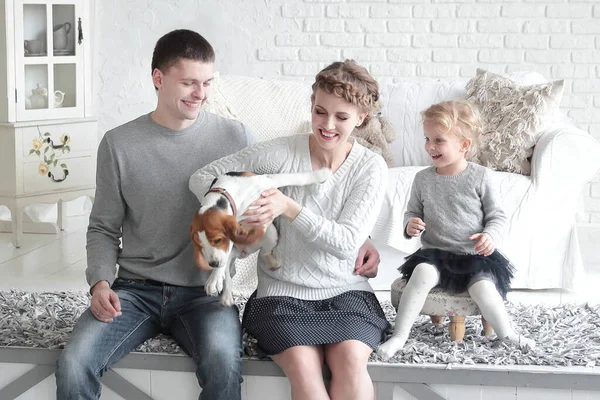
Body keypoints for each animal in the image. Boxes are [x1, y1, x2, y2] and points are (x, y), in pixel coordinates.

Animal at [190, 167, 330, 304]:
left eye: (218, 240)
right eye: (199, 245)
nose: (213, 264)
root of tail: (243, 252)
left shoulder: (269, 181)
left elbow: (299, 178)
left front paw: (322, 174)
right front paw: (214, 278)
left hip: (271, 233)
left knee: (265, 252)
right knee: (230, 275)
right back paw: (226, 295)